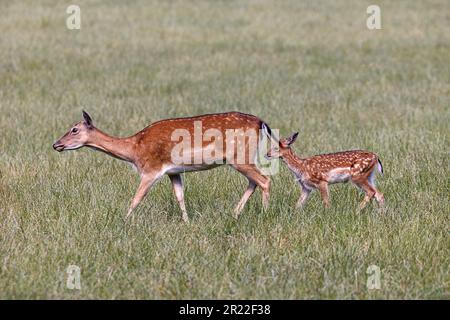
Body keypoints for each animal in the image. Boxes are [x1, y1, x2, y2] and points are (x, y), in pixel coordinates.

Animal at [53, 111, 274, 221]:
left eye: (74, 129)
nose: (56, 144)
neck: (134, 150)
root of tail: (261, 122)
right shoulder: (172, 172)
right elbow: (180, 196)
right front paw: (187, 222)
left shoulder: (151, 169)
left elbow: (136, 198)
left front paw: (123, 222)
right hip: (243, 158)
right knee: (254, 181)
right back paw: (234, 214)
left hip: (240, 157)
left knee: (264, 179)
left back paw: (264, 214)